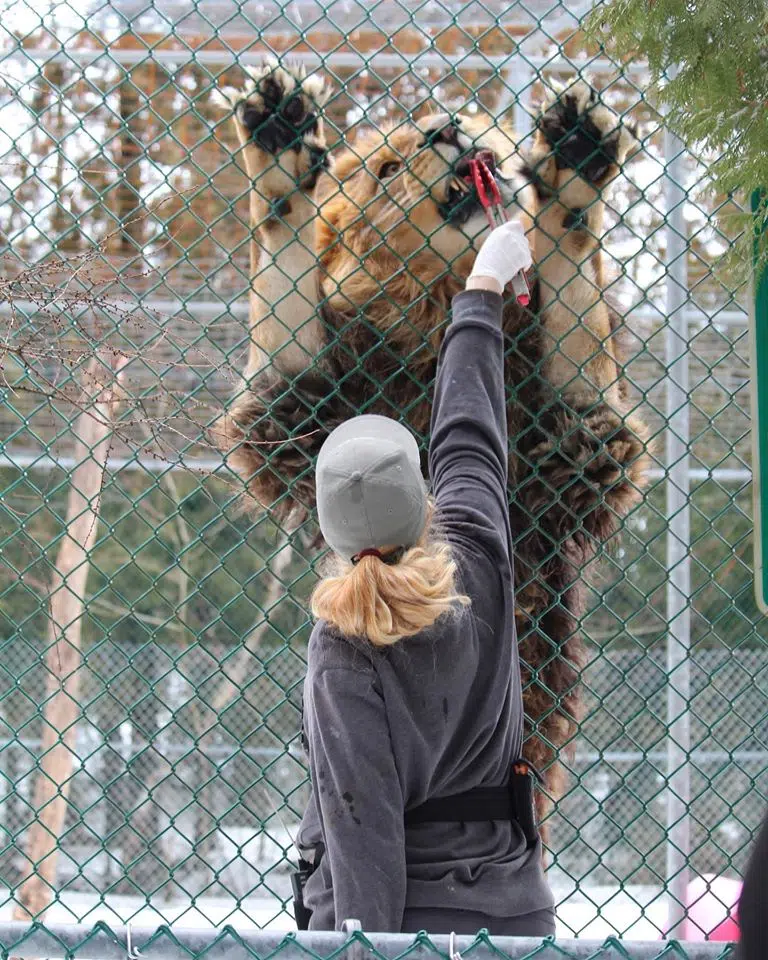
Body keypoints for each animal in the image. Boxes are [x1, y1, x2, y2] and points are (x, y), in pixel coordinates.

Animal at [213, 62, 652, 840]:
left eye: (449, 125)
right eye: (386, 170)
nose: (447, 128)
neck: (437, 304)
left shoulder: (572, 445)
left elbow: (575, 298)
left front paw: (573, 166)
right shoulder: (299, 411)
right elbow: (286, 294)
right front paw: (282, 157)